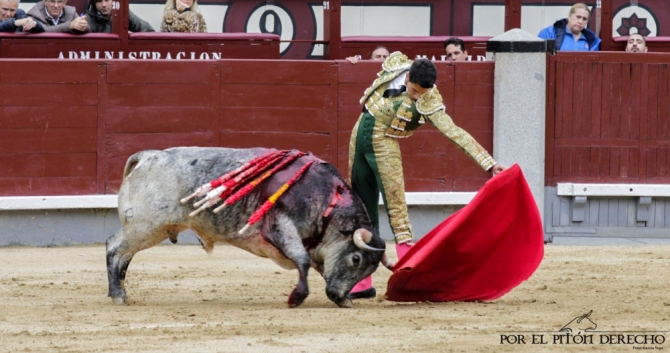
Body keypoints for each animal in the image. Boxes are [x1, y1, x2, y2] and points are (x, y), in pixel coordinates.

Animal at [103, 145, 388, 306]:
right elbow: (303, 261)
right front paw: (297, 297)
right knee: (114, 248)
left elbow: (315, 264)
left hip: (151, 229)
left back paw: (122, 292)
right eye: (355, 259)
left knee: (125, 256)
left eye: (368, 269)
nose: (338, 296)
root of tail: (149, 157)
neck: (329, 200)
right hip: (145, 225)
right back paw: (117, 295)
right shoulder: (280, 225)